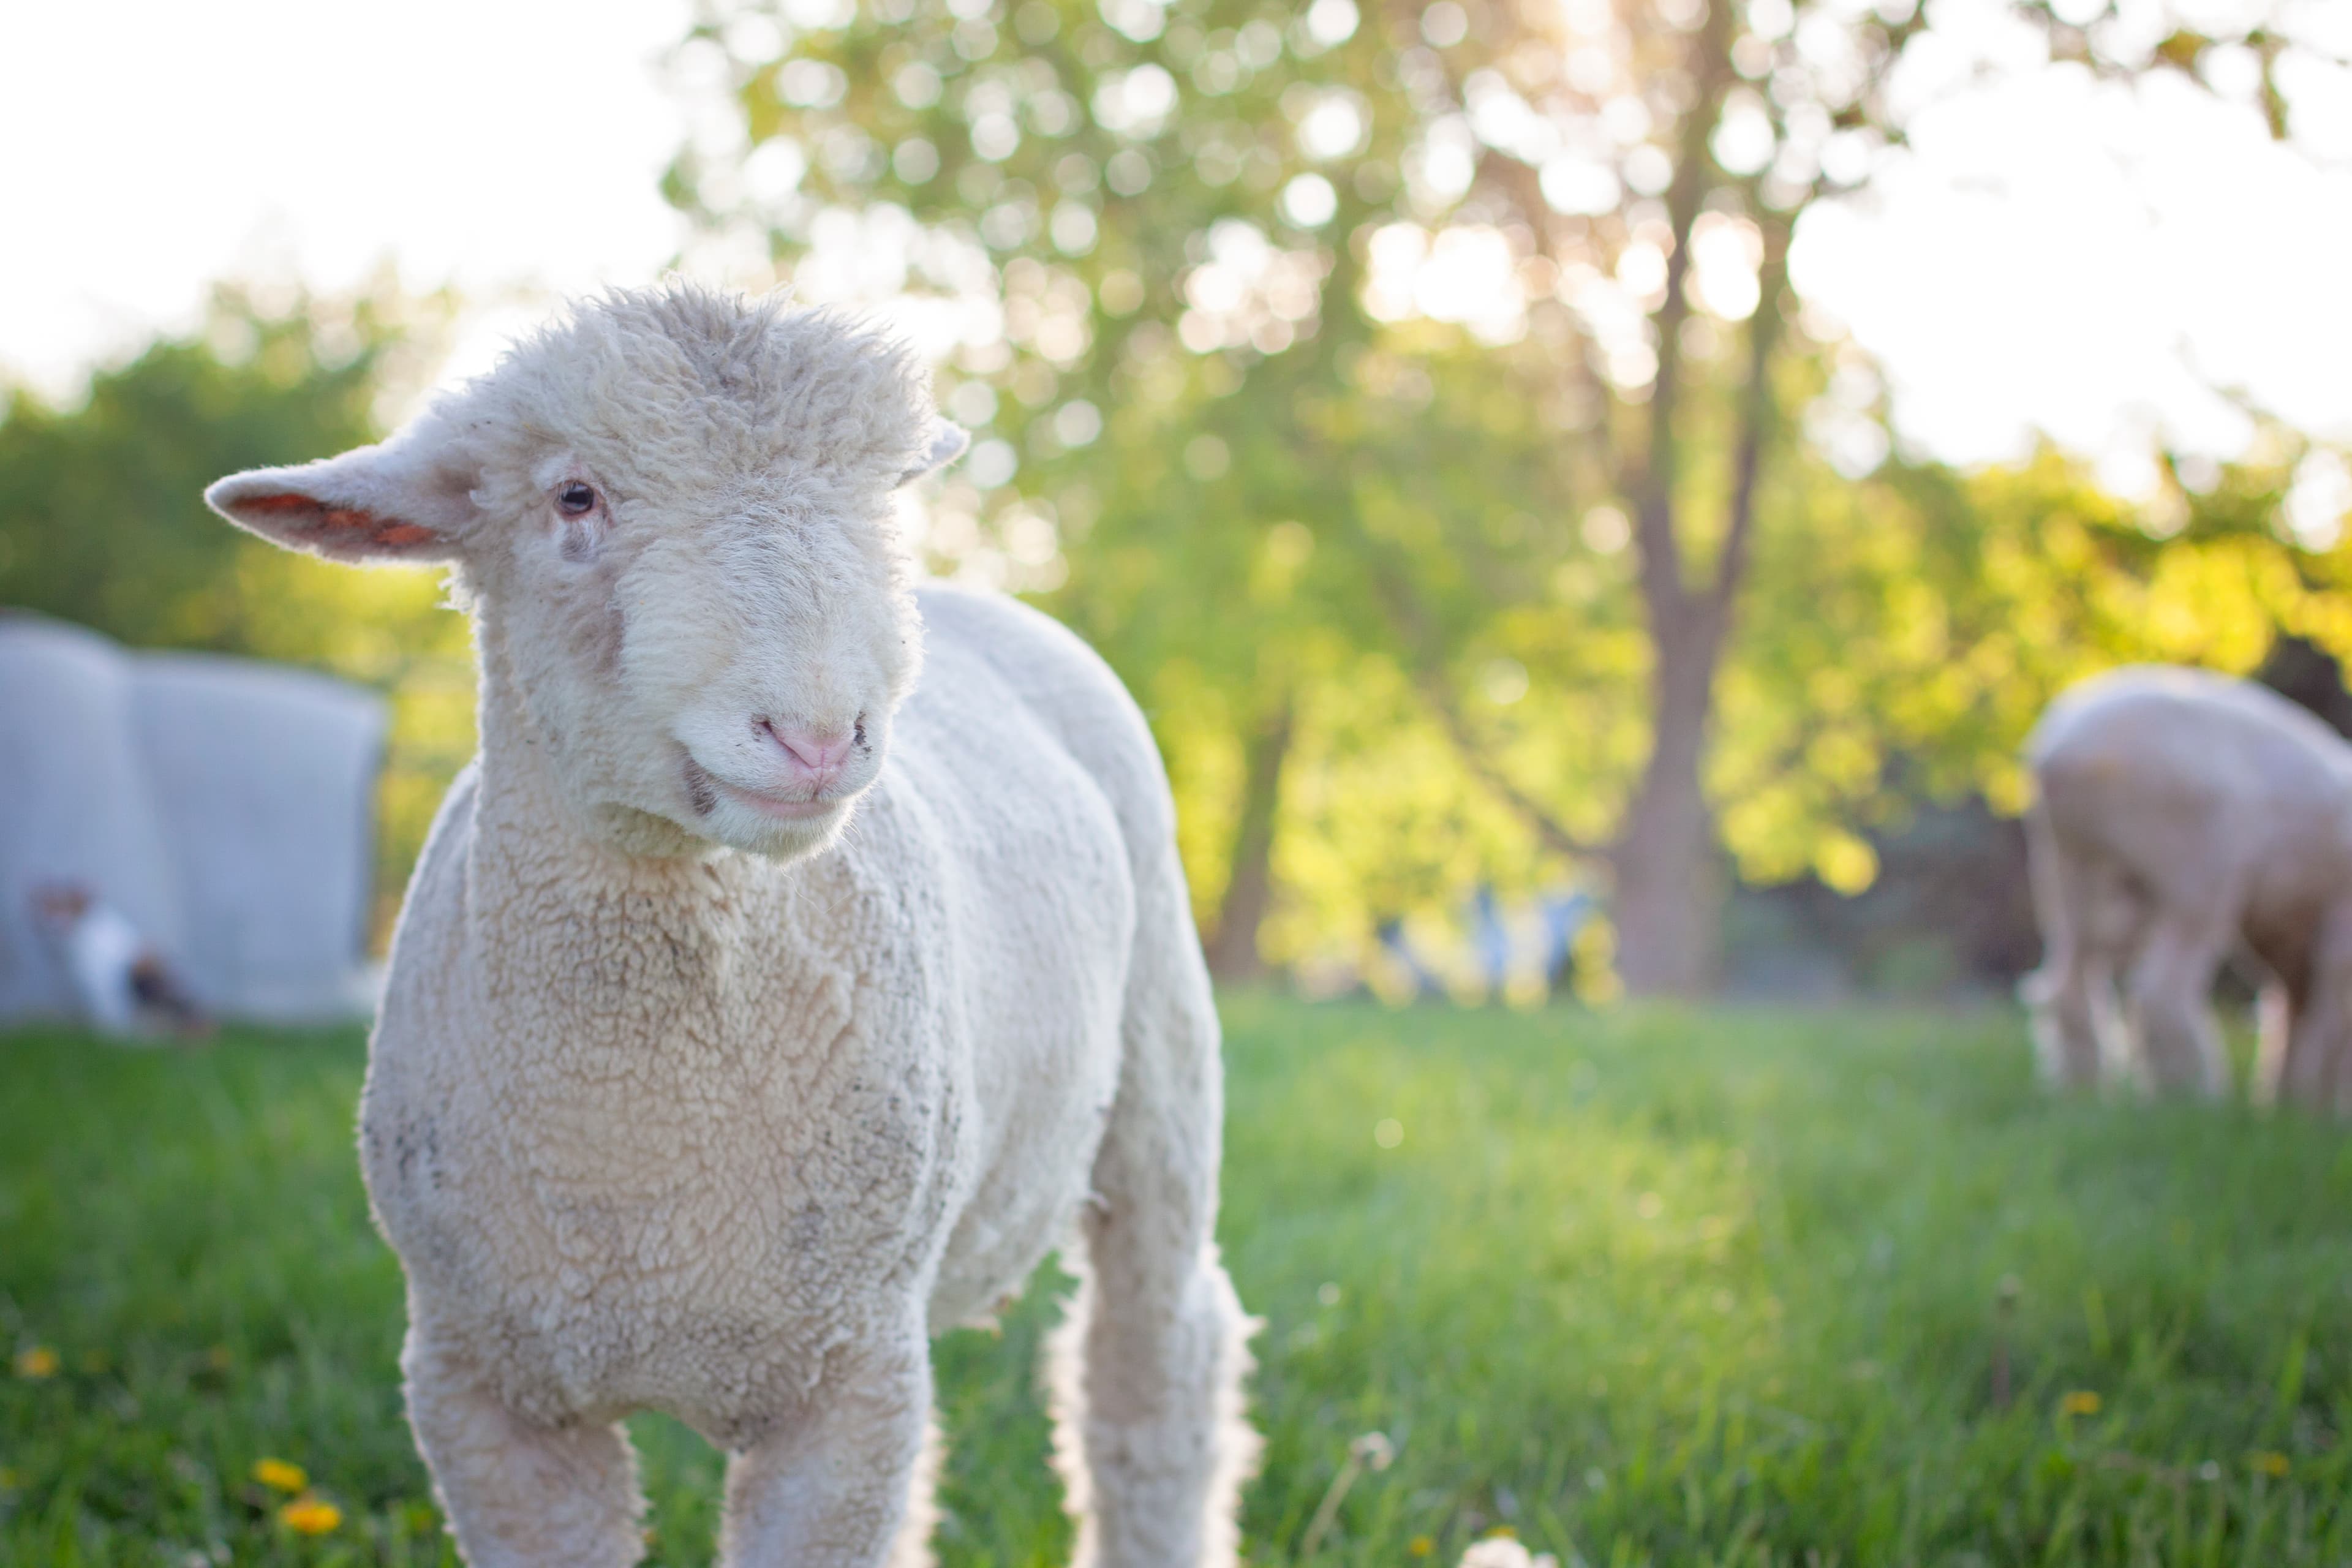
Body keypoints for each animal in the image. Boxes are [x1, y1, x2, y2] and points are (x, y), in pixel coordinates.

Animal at [204, 284, 1259, 1567]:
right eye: (574, 496)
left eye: (882, 496)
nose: (817, 737)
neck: (637, 1139)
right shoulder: (485, 1391)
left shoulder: (841, 1389)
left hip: (1162, 1067)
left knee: (1153, 1375)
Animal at [2020, 664, 2352, 1107]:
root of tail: (2068, 754)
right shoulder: (2338, 917)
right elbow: (2332, 1017)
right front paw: (2315, 1106)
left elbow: (2298, 1017)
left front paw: (2289, 1103)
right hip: (2196, 870)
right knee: (2160, 991)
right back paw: (2194, 1095)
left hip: (2067, 867)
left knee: (2068, 983)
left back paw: (2082, 1091)